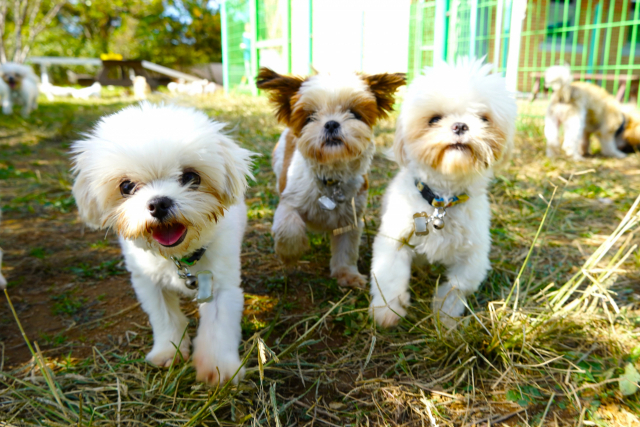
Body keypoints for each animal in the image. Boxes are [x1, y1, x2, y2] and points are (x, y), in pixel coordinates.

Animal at [72, 103, 255, 384]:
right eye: (126, 186)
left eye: (191, 177)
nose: (159, 203)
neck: (180, 258)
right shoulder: (148, 282)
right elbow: (165, 318)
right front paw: (169, 351)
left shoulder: (221, 285)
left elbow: (218, 326)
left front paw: (218, 368)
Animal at [256, 67, 402, 288]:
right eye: (310, 116)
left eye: (354, 113)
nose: (331, 124)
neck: (331, 179)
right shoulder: (290, 201)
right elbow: (289, 228)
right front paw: (289, 254)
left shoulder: (351, 217)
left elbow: (346, 248)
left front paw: (347, 274)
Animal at [368, 59, 516, 328]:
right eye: (434, 119)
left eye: (484, 118)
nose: (460, 125)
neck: (441, 202)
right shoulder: (394, 242)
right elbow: (390, 278)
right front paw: (387, 311)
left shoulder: (475, 255)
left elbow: (458, 286)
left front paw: (445, 315)